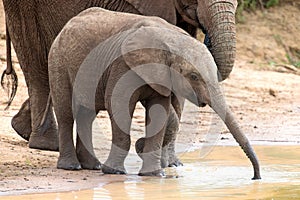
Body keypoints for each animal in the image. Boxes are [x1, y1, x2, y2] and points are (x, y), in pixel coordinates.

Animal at [48, 7, 260, 179]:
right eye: (193, 76)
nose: (255, 177)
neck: (172, 40)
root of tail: (67, 25)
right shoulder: (122, 65)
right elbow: (118, 105)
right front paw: (115, 172)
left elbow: (159, 112)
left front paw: (154, 175)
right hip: (58, 61)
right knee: (66, 113)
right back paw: (71, 167)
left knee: (87, 114)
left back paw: (92, 167)